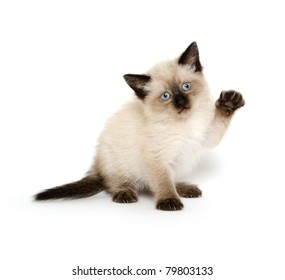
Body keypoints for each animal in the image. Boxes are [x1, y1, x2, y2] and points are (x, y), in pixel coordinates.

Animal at [34, 42, 244, 210]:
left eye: (186, 87)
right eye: (166, 96)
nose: (182, 102)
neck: (183, 124)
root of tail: (97, 166)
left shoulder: (205, 136)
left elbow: (219, 122)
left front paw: (229, 103)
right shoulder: (157, 158)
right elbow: (162, 182)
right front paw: (169, 201)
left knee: (156, 184)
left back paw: (183, 188)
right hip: (117, 160)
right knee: (118, 183)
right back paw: (125, 193)